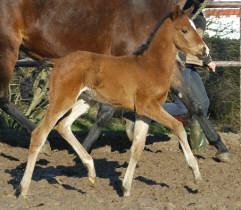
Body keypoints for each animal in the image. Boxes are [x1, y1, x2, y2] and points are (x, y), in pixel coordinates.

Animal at [20, 6, 209, 197]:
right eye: (184, 30)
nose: (205, 51)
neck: (151, 66)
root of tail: (57, 61)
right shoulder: (149, 106)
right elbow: (178, 126)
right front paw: (196, 174)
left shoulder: (143, 112)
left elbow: (137, 148)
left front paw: (125, 189)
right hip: (62, 99)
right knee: (40, 133)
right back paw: (23, 189)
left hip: (85, 101)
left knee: (63, 126)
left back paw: (91, 171)